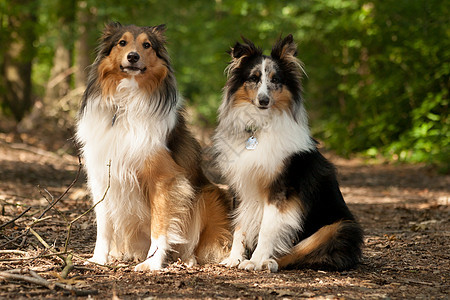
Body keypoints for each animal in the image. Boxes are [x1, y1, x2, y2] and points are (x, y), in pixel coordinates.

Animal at [76, 22, 230, 272]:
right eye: (122, 42)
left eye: (147, 45)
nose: (133, 56)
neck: (125, 104)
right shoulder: (101, 177)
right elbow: (103, 225)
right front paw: (98, 259)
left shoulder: (164, 180)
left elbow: (160, 226)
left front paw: (152, 263)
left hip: (208, 194)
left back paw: (187, 259)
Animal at [213, 35, 364, 272]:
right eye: (254, 78)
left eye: (276, 80)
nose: (263, 100)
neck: (260, 127)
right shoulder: (241, 184)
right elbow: (239, 224)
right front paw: (234, 257)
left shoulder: (281, 189)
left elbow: (267, 228)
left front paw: (255, 260)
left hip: (340, 227)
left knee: (297, 252)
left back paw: (268, 262)